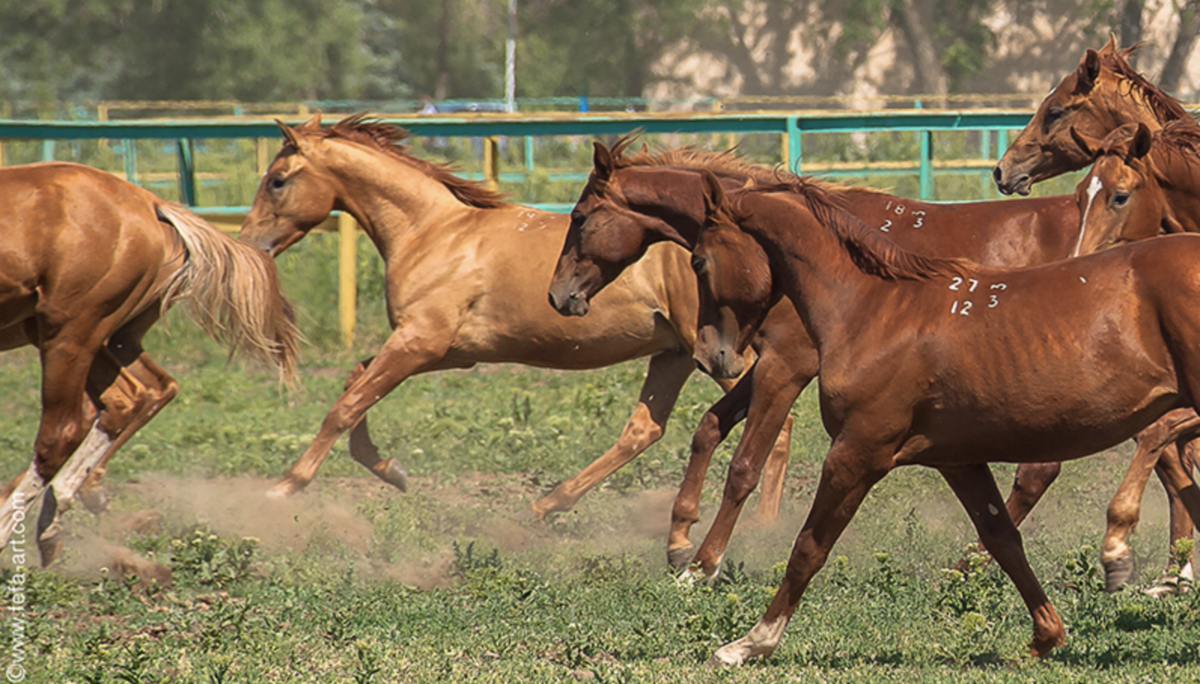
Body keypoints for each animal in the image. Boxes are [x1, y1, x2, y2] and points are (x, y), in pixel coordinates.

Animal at [0, 160, 298, 564]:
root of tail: (150, 202)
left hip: (68, 331)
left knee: (62, 431)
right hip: (95, 336)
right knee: (134, 397)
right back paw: (56, 517)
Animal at [240, 113, 782, 516]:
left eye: (278, 181)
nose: (251, 243)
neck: (432, 231)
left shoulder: (419, 342)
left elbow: (345, 406)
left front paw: (286, 486)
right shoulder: (446, 351)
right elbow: (356, 382)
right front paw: (391, 469)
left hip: (719, 356)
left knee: (775, 431)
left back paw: (762, 527)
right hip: (676, 353)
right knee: (643, 431)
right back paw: (547, 506)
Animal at [686, 172, 1200, 662]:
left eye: (698, 262)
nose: (711, 356)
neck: (872, 309)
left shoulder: (855, 452)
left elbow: (809, 548)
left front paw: (749, 643)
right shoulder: (959, 461)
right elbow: (1002, 538)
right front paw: (1046, 637)